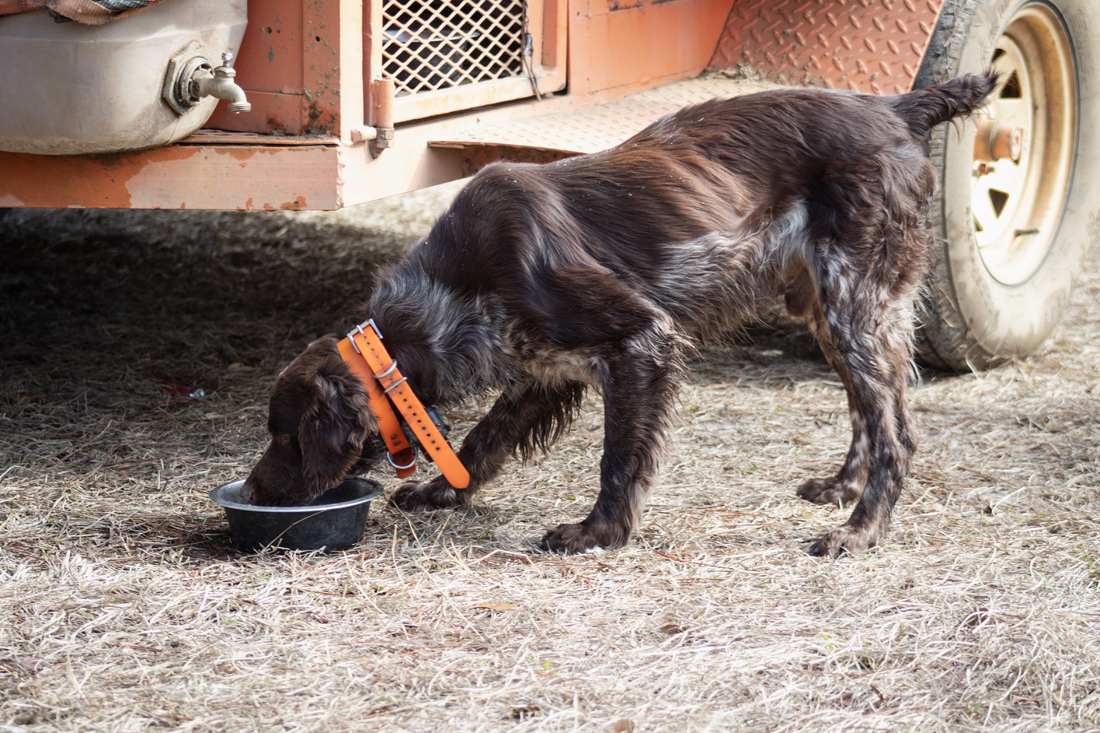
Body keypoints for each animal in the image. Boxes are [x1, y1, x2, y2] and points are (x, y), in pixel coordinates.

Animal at [245, 72, 1003, 554]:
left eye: (286, 436)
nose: (254, 488)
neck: (450, 292)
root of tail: (896, 109)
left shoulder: (641, 340)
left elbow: (619, 457)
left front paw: (597, 533)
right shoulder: (541, 369)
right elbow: (484, 440)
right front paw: (441, 491)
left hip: (856, 303)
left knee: (898, 434)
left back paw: (860, 531)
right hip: (830, 311)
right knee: (868, 414)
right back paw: (841, 488)